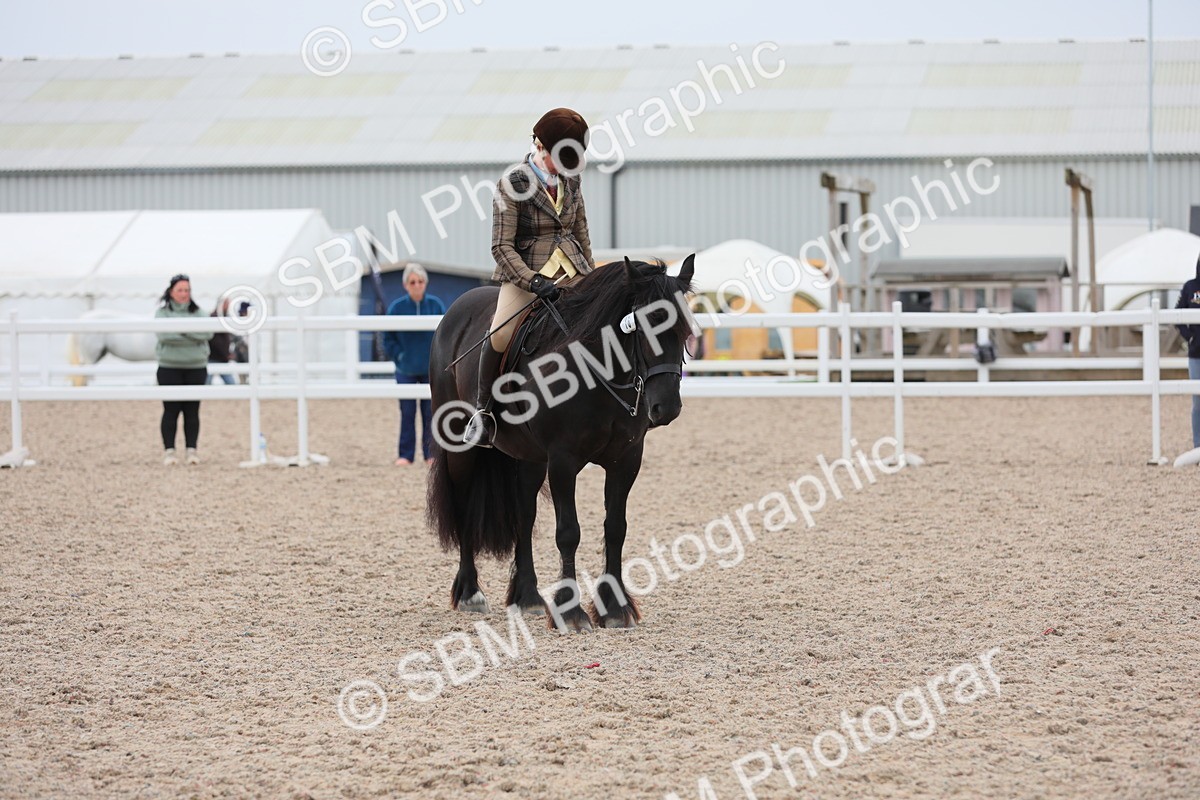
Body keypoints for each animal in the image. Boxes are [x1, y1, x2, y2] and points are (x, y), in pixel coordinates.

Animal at [426, 255, 696, 632]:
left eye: (684, 329)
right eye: (642, 326)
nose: (666, 407)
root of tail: (457, 309)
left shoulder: (626, 460)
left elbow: (616, 528)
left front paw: (615, 608)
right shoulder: (563, 461)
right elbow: (568, 532)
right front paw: (571, 611)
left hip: (529, 458)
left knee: (523, 516)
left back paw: (528, 597)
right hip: (460, 448)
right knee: (464, 504)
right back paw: (470, 593)